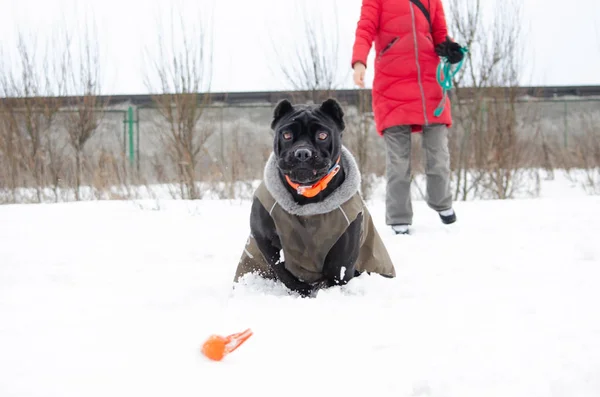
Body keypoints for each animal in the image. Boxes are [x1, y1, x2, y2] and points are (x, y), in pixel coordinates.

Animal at [232, 97, 396, 296]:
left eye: (322, 135)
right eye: (286, 135)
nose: (302, 152)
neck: (308, 194)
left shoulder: (343, 251)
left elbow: (337, 274)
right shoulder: (264, 235)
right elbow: (283, 270)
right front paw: (302, 290)